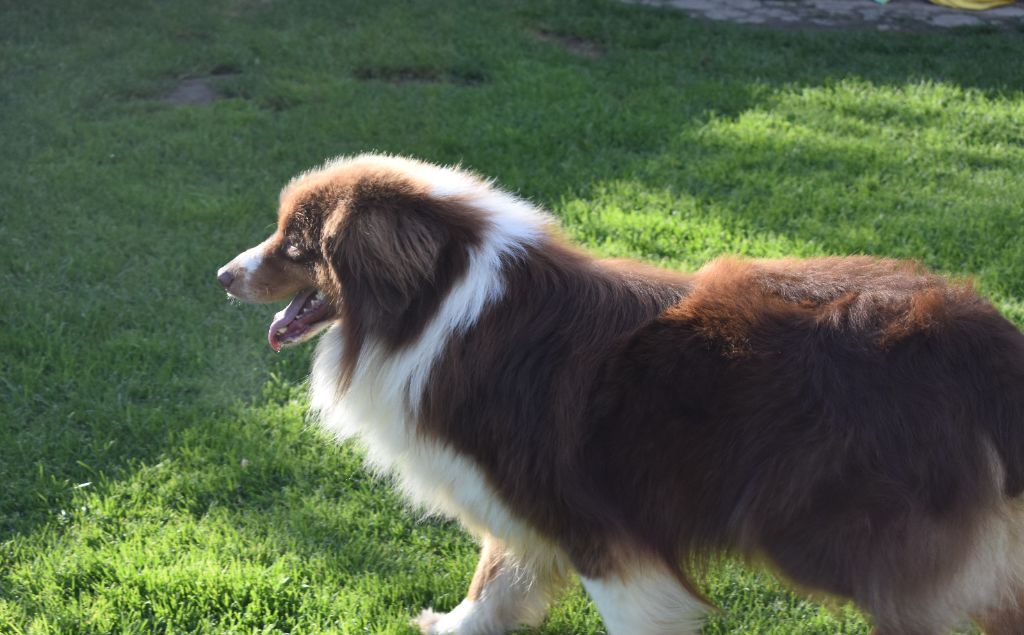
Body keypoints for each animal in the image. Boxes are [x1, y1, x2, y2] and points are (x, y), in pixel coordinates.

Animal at [218, 154, 1024, 635]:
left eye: (296, 244)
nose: (224, 275)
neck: (435, 303)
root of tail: (982, 336)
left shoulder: (599, 527)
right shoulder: (521, 508)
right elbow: (493, 583)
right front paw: (449, 624)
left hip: (841, 530)